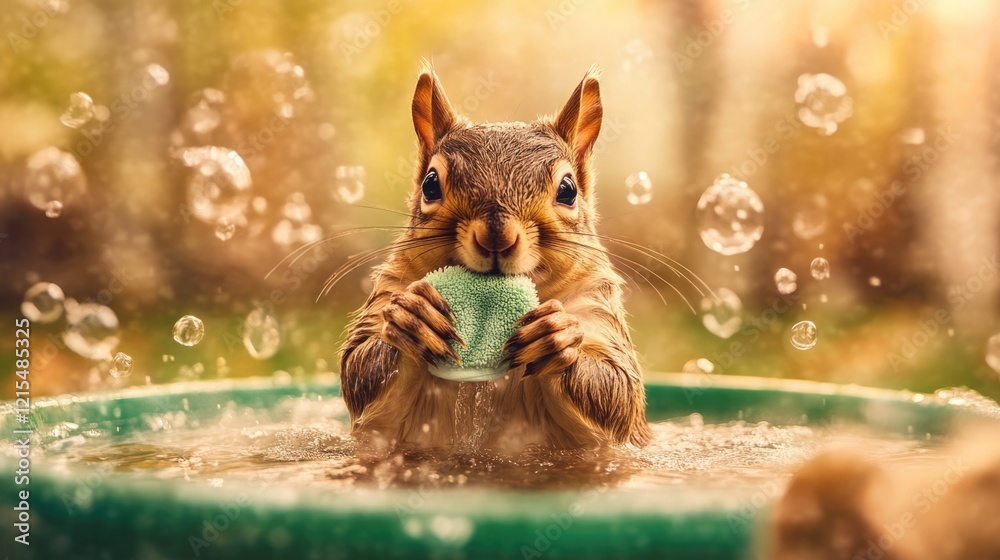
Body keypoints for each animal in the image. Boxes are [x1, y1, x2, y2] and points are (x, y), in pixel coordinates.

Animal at [339, 65, 652, 451]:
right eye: (430, 184)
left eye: (568, 190)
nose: (497, 237)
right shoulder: (391, 286)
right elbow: (358, 368)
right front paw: (413, 317)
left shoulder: (597, 304)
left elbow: (619, 391)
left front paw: (558, 334)